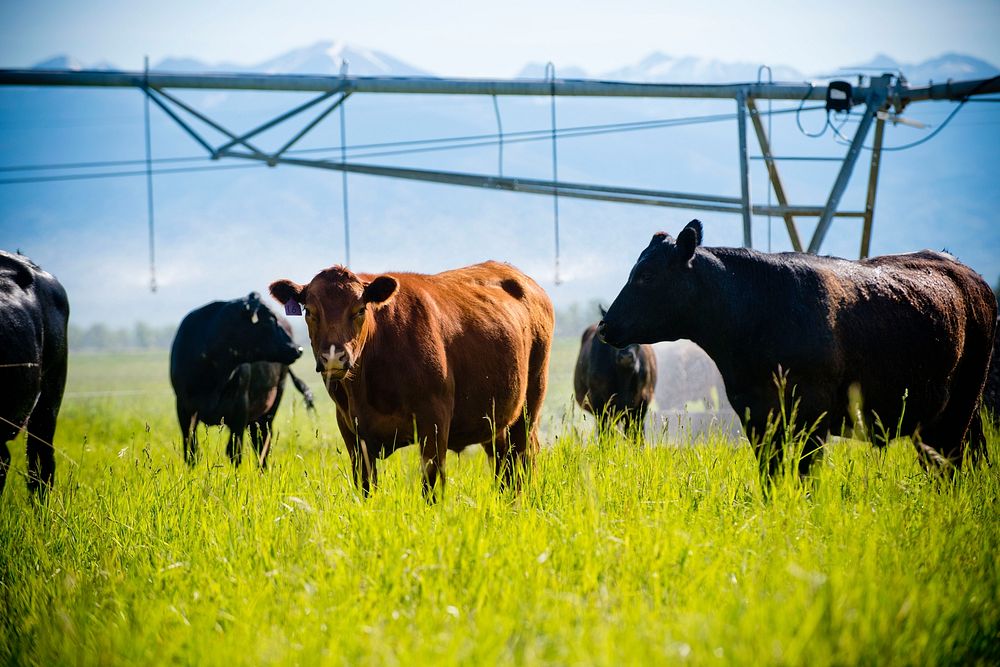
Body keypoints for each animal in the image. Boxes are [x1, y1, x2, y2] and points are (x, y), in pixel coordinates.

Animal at [170, 292, 312, 470]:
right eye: (268, 320)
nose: (297, 349)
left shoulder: (240, 408)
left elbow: (234, 451)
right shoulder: (184, 408)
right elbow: (191, 450)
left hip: (271, 405)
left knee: (263, 442)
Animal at [270, 264, 556, 498]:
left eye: (360, 309)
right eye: (309, 311)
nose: (333, 357)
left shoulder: (434, 421)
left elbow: (432, 488)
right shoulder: (351, 431)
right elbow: (365, 488)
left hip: (530, 405)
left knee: (521, 464)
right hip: (497, 420)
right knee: (503, 465)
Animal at [596, 223, 996, 480]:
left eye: (646, 275)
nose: (605, 325)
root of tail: (967, 272)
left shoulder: (812, 415)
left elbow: (804, 476)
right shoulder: (757, 416)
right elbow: (771, 478)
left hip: (958, 411)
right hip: (944, 419)